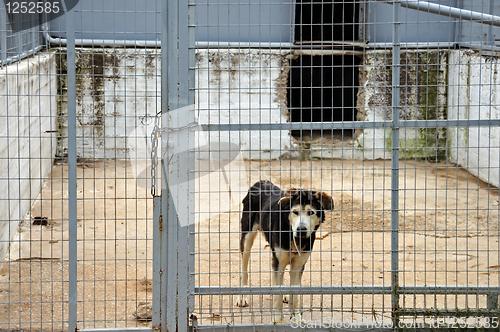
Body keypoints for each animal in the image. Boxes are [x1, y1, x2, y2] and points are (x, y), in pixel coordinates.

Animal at [235, 180, 336, 322]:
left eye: (311, 212)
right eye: (295, 212)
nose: (301, 229)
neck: (292, 235)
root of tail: (261, 182)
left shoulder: (298, 265)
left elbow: (295, 294)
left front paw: (296, 317)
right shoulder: (278, 259)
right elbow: (276, 295)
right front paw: (277, 318)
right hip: (247, 237)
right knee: (244, 269)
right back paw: (243, 296)